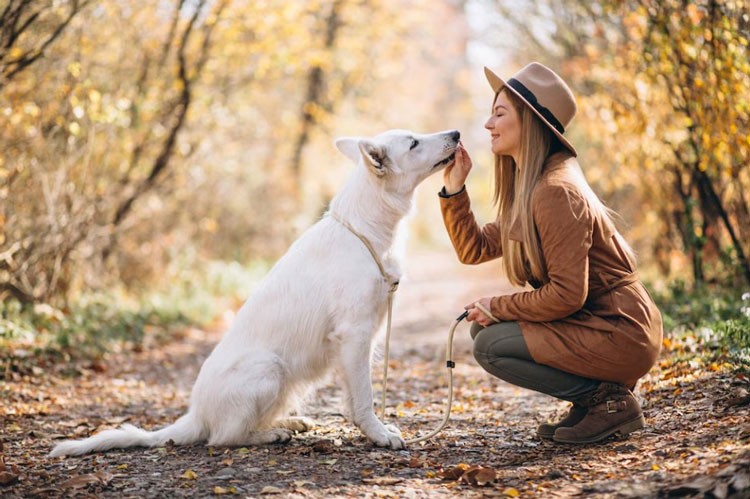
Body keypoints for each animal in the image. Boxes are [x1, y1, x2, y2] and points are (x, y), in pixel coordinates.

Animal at [50, 128, 462, 458]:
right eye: (413, 143)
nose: (456, 133)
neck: (365, 229)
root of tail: (195, 415)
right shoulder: (355, 335)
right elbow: (363, 397)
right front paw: (378, 434)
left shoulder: (362, 338)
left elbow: (352, 397)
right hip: (269, 369)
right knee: (223, 438)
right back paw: (271, 435)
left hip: (287, 383)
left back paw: (287, 424)